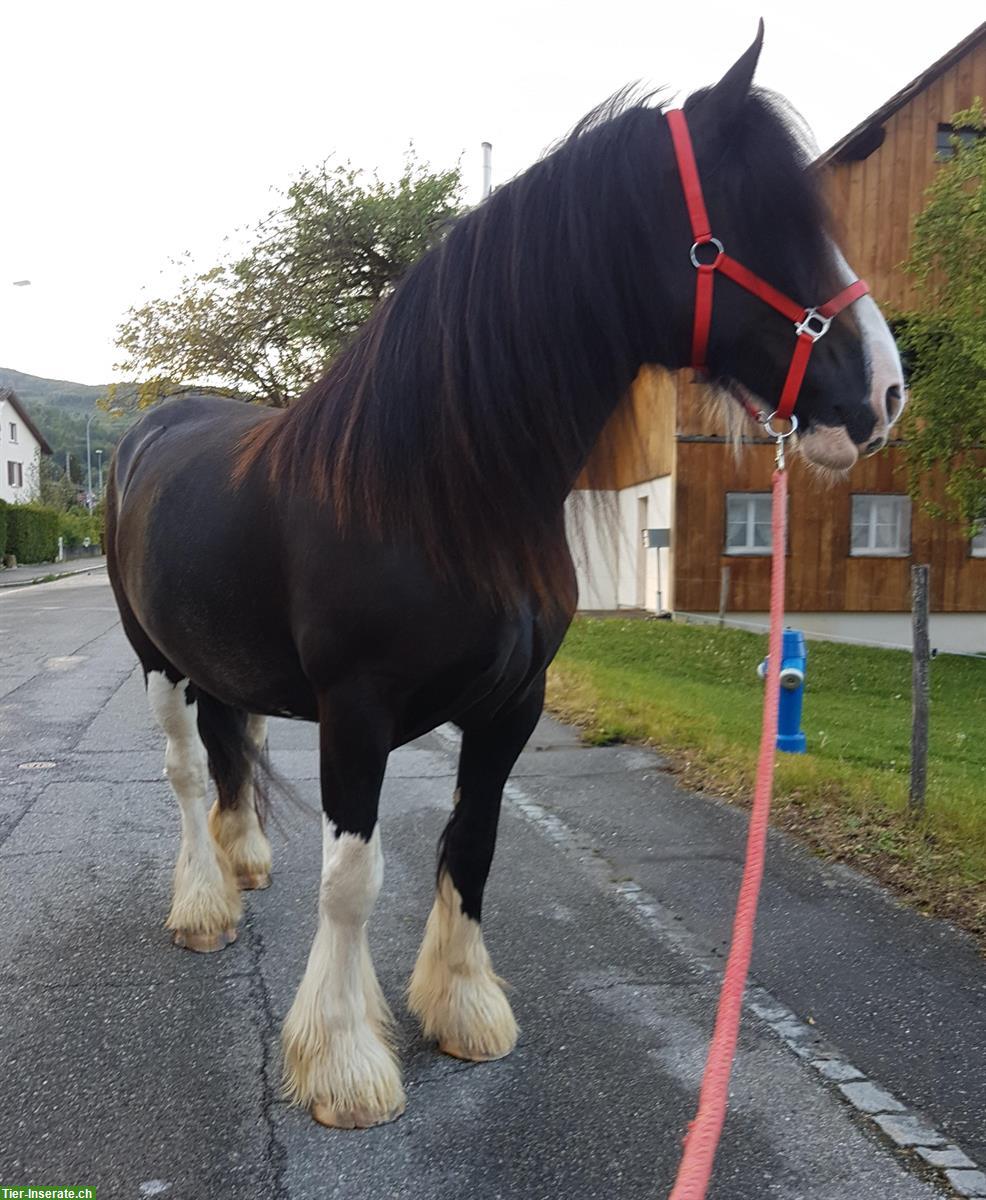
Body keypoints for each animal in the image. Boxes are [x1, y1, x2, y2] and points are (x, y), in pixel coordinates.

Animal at [106, 30, 902, 1132]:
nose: (882, 393)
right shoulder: (356, 712)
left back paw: (243, 861)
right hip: (156, 660)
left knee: (236, 751)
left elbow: (473, 846)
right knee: (187, 774)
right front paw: (345, 1063)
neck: (428, 487)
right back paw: (201, 906)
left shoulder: (511, 705)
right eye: (755, 221)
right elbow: (352, 877)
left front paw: (464, 1011)